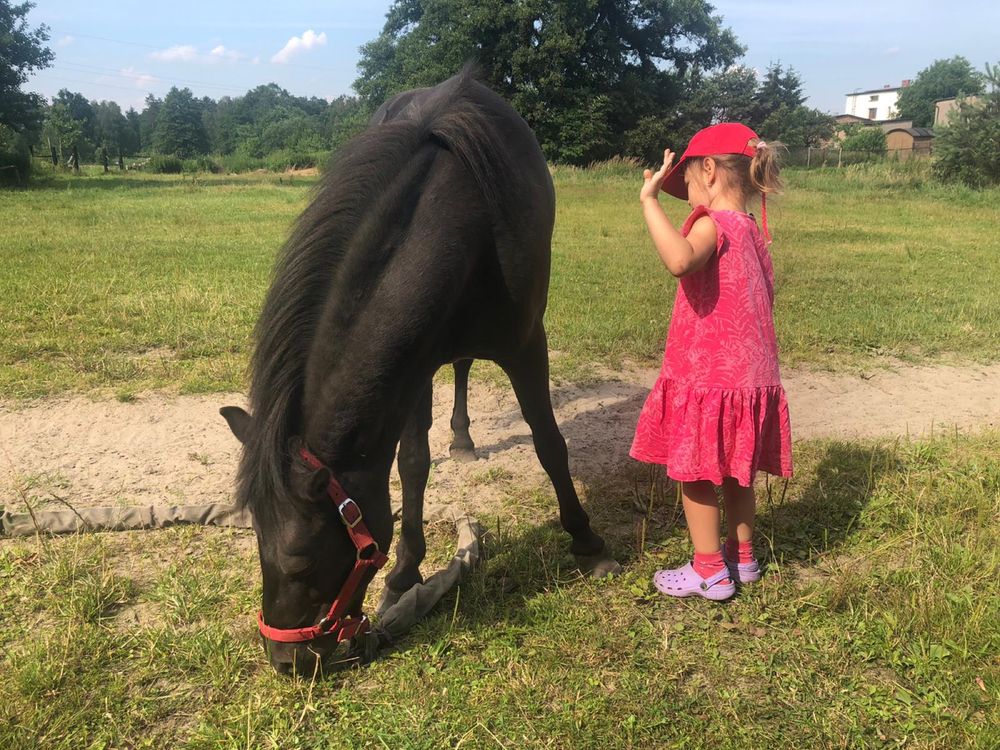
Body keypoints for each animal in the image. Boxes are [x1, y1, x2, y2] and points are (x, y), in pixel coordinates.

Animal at [221, 70, 616, 680]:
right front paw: (405, 572)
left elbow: (550, 443)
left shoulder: (527, 345)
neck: (459, 221)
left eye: (301, 559)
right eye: (254, 539)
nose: (284, 659)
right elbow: (410, 463)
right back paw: (459, 438)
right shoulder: (412, 364)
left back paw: (465, 439)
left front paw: (586, 539)